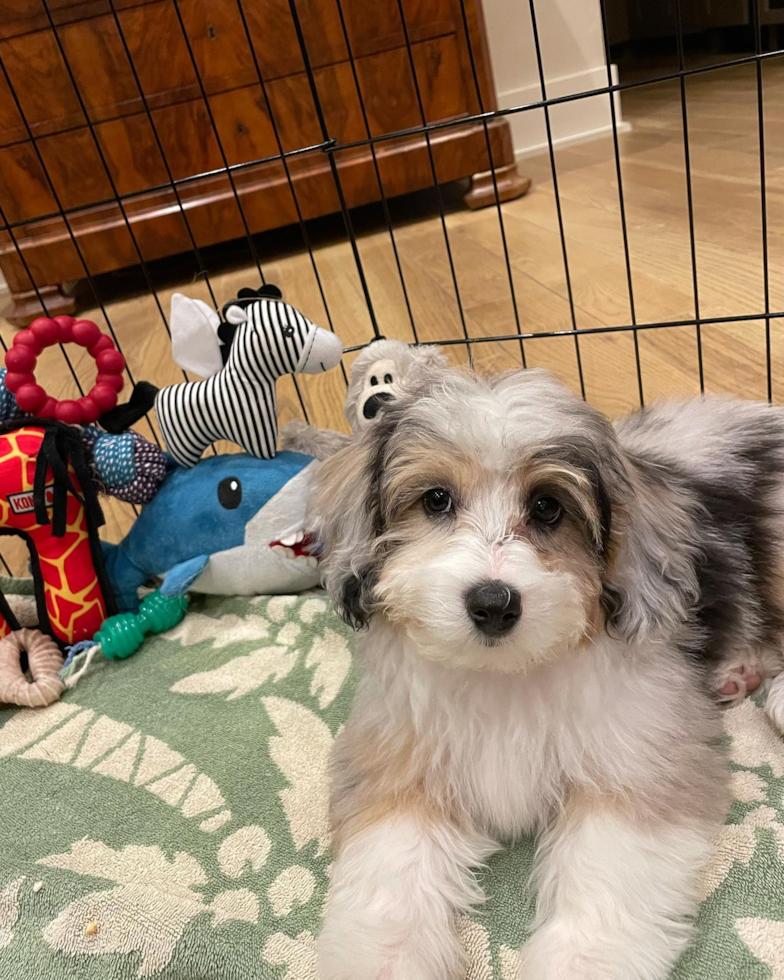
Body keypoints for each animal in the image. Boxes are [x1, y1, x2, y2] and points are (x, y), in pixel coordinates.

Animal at [310, 368, 784, 980]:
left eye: (547, 507)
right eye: (437, 499)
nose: (492, 602)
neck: (507, 674)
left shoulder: (641, 756)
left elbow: (609, 869)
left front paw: (580, 961)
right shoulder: (394, 756)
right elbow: (389, 870)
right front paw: (384, 959)